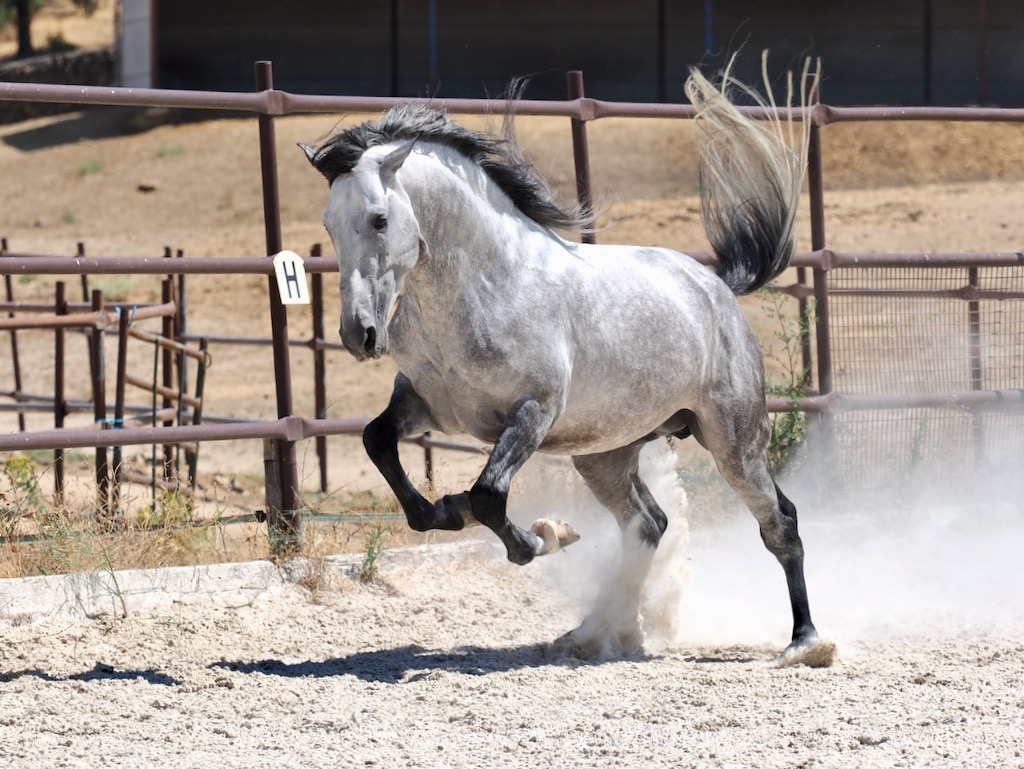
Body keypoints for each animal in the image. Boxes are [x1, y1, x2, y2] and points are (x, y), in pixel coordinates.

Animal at [301, 56, 833, 664]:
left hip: (733, 441)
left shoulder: (533, 412)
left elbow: (488, 496)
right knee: (649, 524)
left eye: (379, 219)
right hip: (604, 454)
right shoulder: (425, 404)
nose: (359, 334)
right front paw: (447, 511)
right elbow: (381, 447)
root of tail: (715, 285)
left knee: (779, 523)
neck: (484, 287)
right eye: (329, 224)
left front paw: (541, 537)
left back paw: (805, 642)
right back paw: (598, 633)